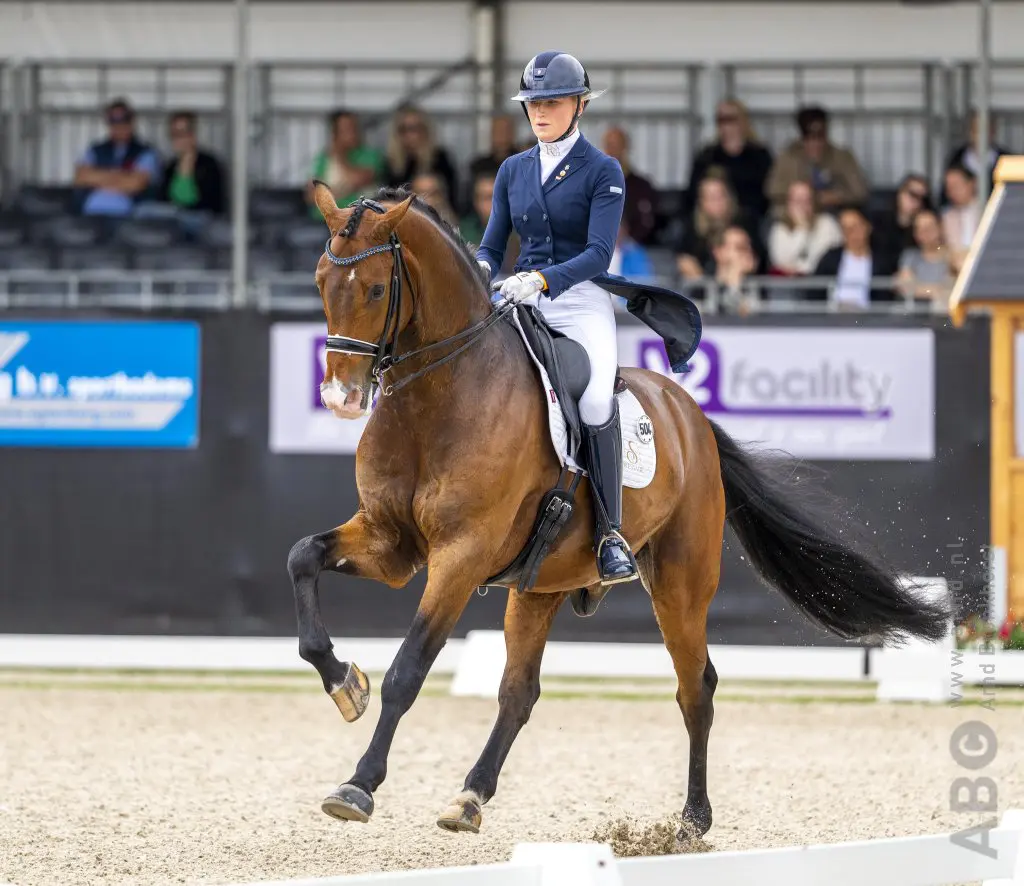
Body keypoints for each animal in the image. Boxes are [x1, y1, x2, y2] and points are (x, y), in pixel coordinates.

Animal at [287, 181, 949, 839]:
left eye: (376, 288)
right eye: (320, 280)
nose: (340, 398)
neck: (440, 397)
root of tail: (690, 415)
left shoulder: (460, 555)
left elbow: (408, 668)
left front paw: (358, 784)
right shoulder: (390, 541)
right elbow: (303, 557)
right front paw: (345, 684)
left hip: (681, 582)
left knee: (695, 687)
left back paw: (693, 818)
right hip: (540, 586)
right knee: (519, 691)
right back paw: (470, 797)